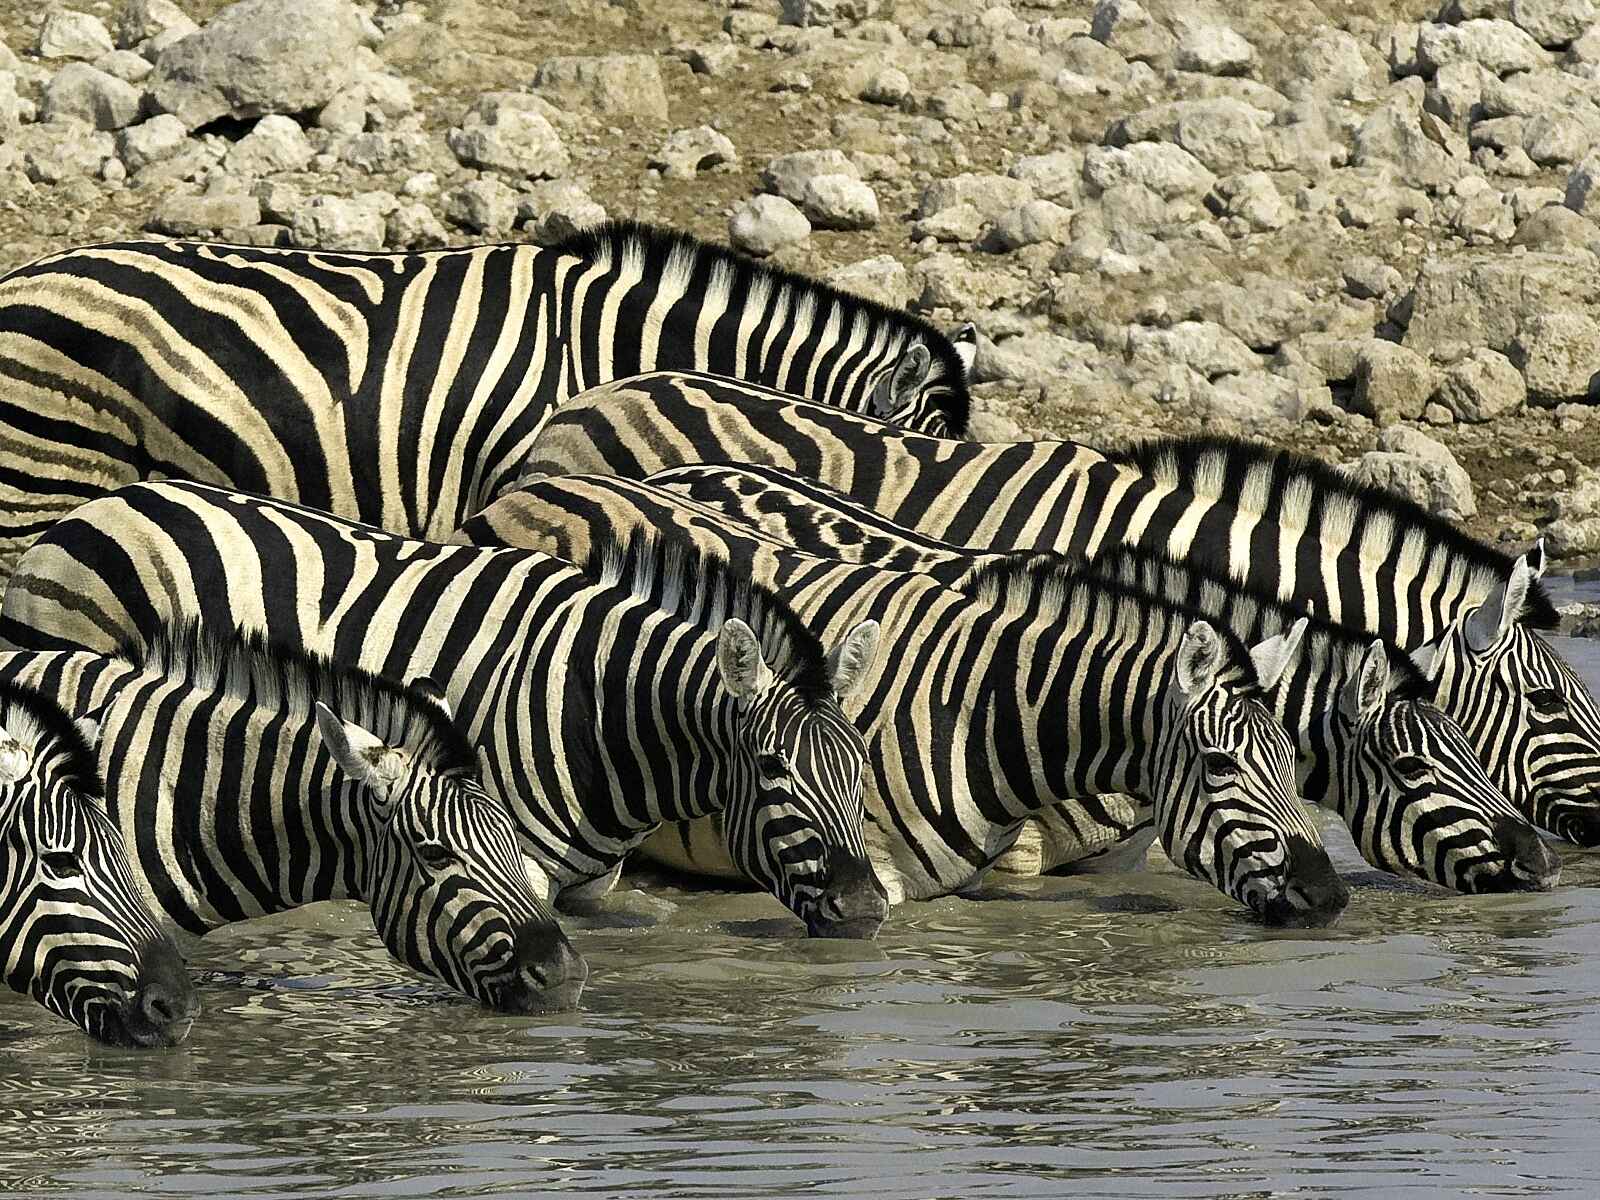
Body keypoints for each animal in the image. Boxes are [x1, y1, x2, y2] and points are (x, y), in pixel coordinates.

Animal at [0, 483, 886, 940]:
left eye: (860, 768)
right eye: (772, 768)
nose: (866, 911)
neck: (596, 708)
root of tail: (96, 507)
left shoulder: (592, 887)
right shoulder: (504, 857)